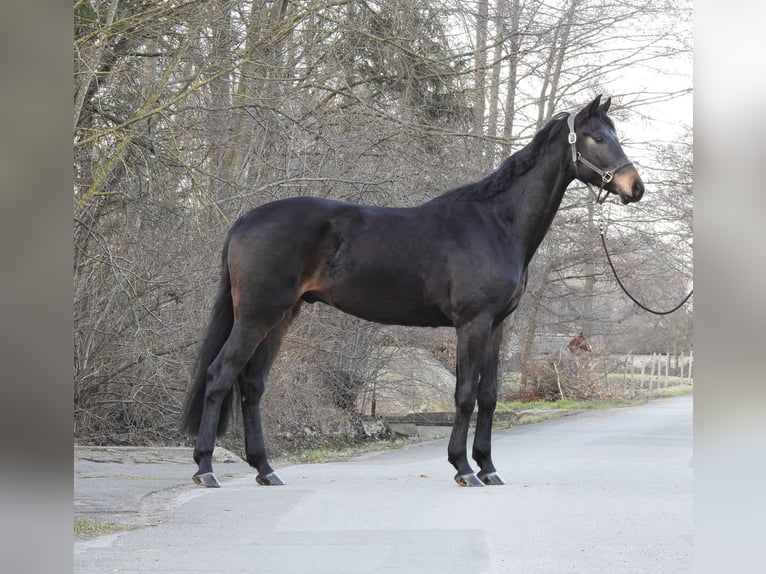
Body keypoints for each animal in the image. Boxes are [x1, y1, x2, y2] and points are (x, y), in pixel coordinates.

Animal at [181, 94, 644, 488]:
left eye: (615, 132)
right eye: (597, 137)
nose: (635, 187)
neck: (496, 224)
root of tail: (244, 221)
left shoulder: (496, 326)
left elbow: (490, 395)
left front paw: (489, 467)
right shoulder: (472, 324)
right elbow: (464, 395)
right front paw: (463, 468)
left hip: (282, 316)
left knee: (253, 384)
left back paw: (265, 469)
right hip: (257, 314)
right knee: (220, 375)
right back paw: (205, 469)